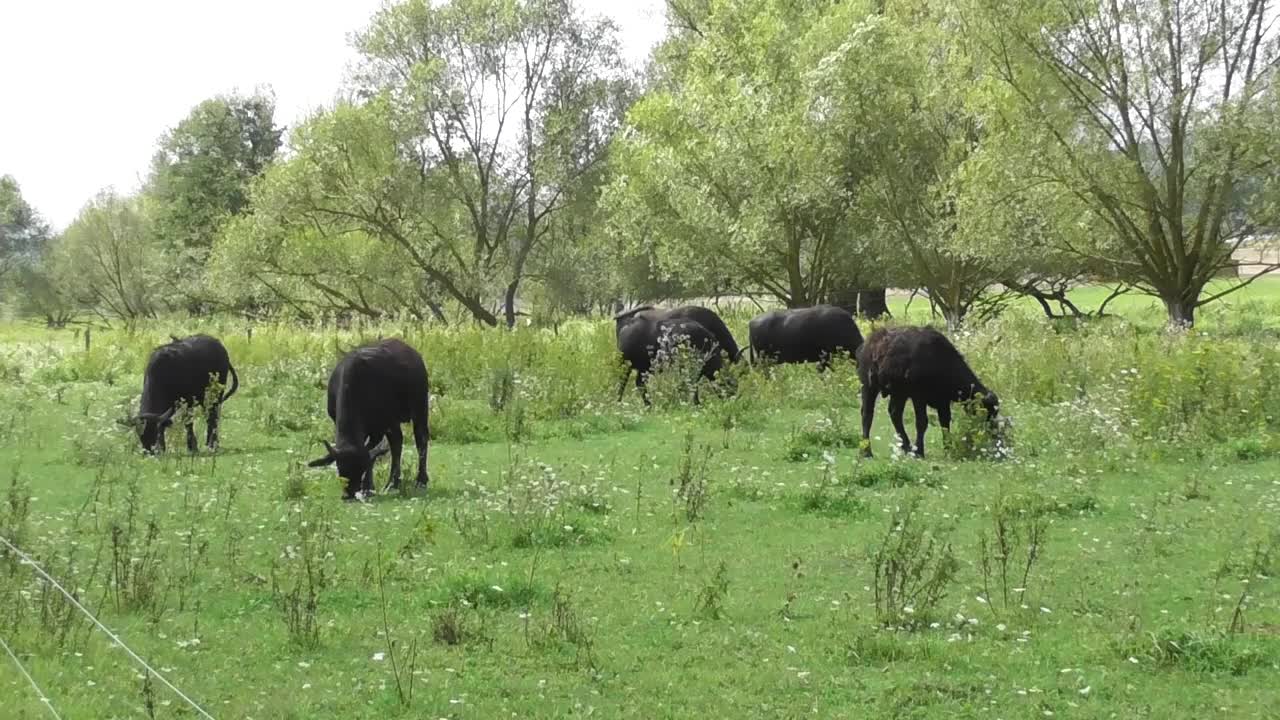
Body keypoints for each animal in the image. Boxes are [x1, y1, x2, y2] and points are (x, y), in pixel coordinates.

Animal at [307, 335, 432, 499]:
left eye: (360, 468)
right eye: (340, 467)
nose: (349, 494)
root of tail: (414, 355)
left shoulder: (379, 429)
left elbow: (371, 456)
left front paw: (367, 487)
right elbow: (373, 455)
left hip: (419, 408)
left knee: (420, 439)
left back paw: (420, 480)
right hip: (393, 422)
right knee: (397, 443)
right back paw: (392, 483)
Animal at [860, 324, 998, 453]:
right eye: (987, 411)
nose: (994, 432)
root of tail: (871, 341)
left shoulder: (943, 401)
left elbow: (945, 422)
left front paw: (948, 448)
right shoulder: (918, 396)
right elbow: (922, 422)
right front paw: (919, 451)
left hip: (899, 393)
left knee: (895, 413)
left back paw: (906, 447)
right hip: (869, 386)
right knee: (867, 414)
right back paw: (867, 451)